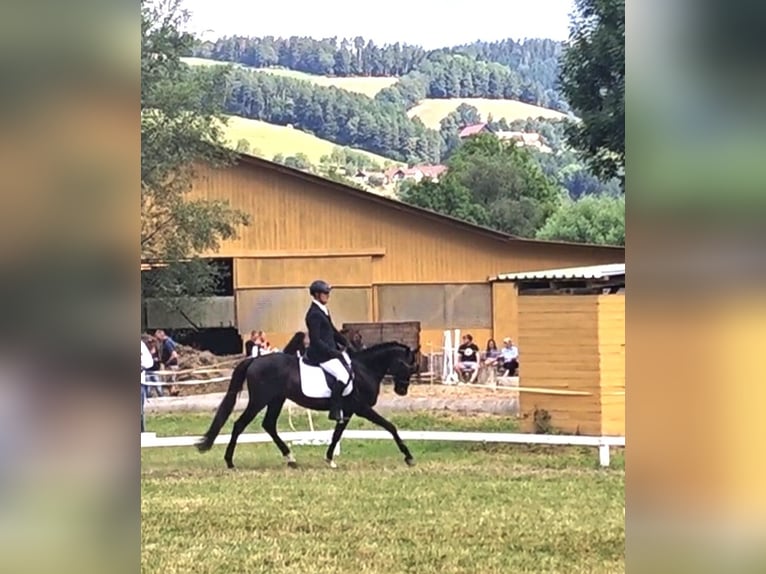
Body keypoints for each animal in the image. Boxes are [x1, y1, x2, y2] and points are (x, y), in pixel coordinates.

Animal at [196, 332, 421, 469]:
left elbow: (337, 434)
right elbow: (390, 426)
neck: (364, 369)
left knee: (269, 425)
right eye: (405, 365)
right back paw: (230, 462)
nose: (402, 390)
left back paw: (291, 459)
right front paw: (408, 456)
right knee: (240, 424)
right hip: (260, 400)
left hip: (276, 400)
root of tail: (255, 359)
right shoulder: (361, 408)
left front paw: (329, 458)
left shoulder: (348, 411)